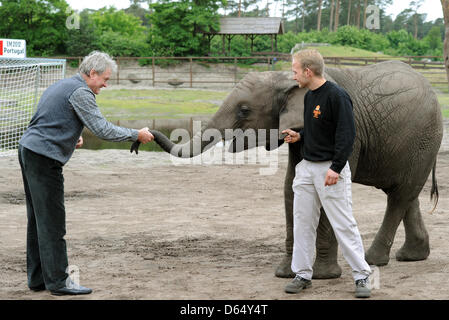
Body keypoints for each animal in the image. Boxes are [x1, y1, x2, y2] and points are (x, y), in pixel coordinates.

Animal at [131, 60, 442, 280]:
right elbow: (291, 186)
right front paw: (286, 273)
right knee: (404, 195)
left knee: (399, 196)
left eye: (244, 110)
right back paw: (411, 256)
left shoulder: (346, 129)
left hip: (425, 138)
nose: (143, 136)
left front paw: (323, 276)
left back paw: (373, 260)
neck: (288, 79)